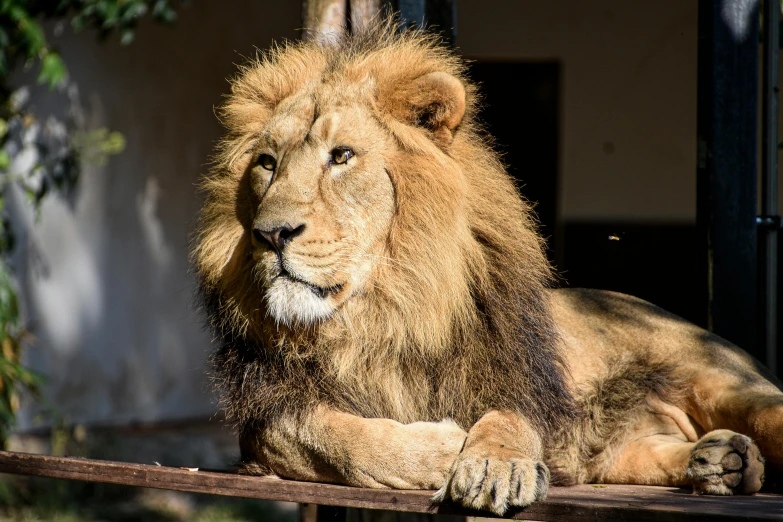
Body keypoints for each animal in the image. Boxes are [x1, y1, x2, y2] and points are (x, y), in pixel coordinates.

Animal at [193, 22, 780, 512]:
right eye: (267, 163)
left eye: (341, 156)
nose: (271, 234)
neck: (381, 313)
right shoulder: (267, 410)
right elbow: (331, 436)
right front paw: (440, 448)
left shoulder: (511, 374)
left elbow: (507, 419)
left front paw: (495, 463)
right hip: (624, 455)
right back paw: (722, 460)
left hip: (730, 386)